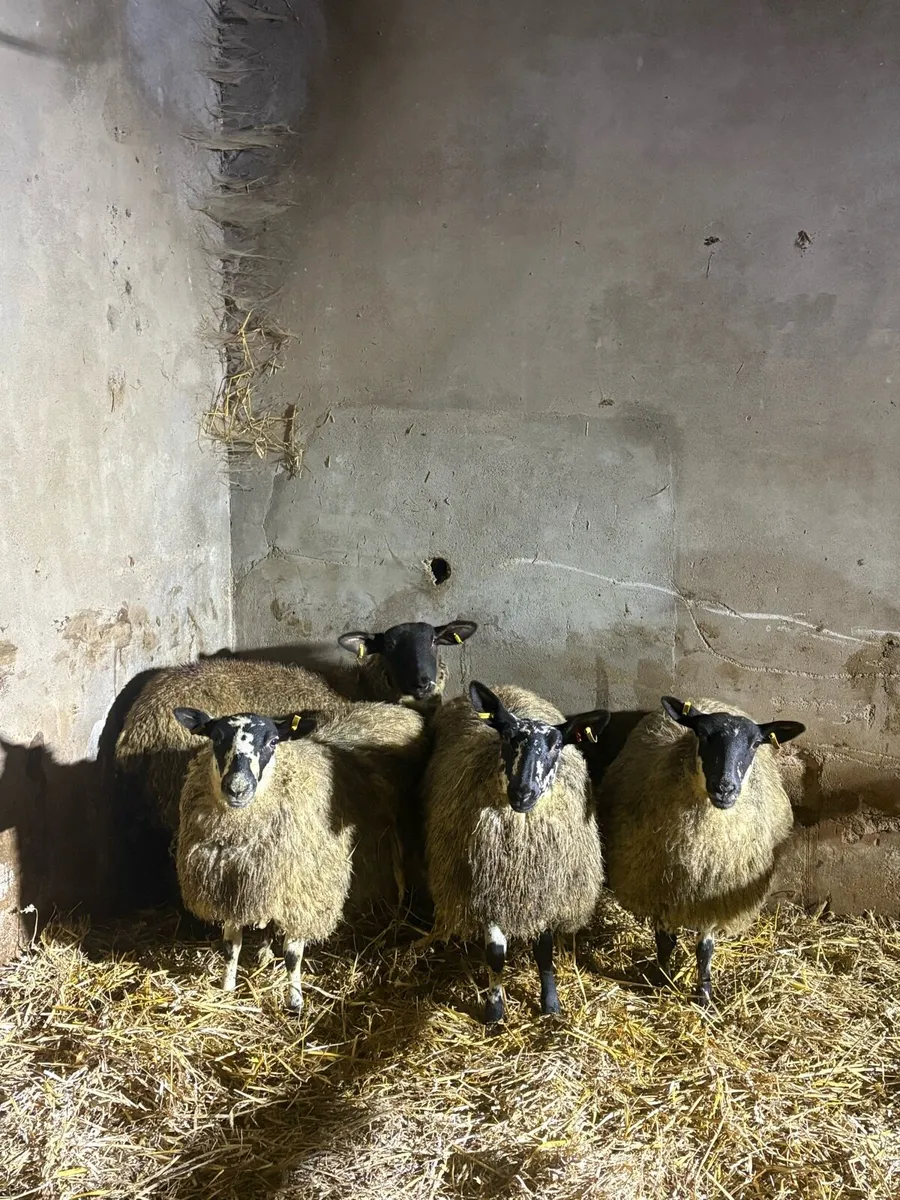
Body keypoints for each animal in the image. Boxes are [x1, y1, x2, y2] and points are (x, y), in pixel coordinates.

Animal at [174, 700, 429, 1011]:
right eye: (216, 738)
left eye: (273, 741)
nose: (238, 788)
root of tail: (392, 707)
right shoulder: (236, 888)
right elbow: (230, 947)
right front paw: (228, 987)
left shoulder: (301, 895)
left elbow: (292, 955)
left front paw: (295, 999)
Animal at [423, 681, 609, 1024]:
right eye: (509, 738)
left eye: (556, 745)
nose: (523, 793)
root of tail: (504, 687)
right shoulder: (488, 890)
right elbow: (496, 955)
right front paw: (495, 1009)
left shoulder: (546, 893)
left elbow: (544, 951)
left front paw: (550, 1004)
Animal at [601, 696, 805, 1006]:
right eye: (703, 734)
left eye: (755, 743)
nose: (725, 788)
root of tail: (707, 700)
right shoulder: (660, 889)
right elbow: (665, 941)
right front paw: (662, 981)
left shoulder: (712, 895)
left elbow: (704, 949)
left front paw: (704, 996)